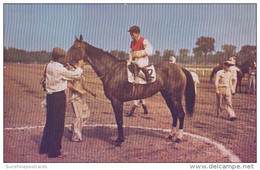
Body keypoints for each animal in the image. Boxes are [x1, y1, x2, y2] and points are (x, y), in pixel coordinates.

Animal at [67, 34, 195, 146]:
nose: (65, 58)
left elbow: (119, 121)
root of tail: (180, 68)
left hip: (175, 98)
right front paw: (118, 139)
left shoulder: (117, 101)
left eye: (76, 47)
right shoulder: (115, 102)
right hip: (168, 97)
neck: (111, 70)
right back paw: (170, 136)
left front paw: (120, 141)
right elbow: (118, 120)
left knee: (181, 114)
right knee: (174, 114)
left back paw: (178, 138)